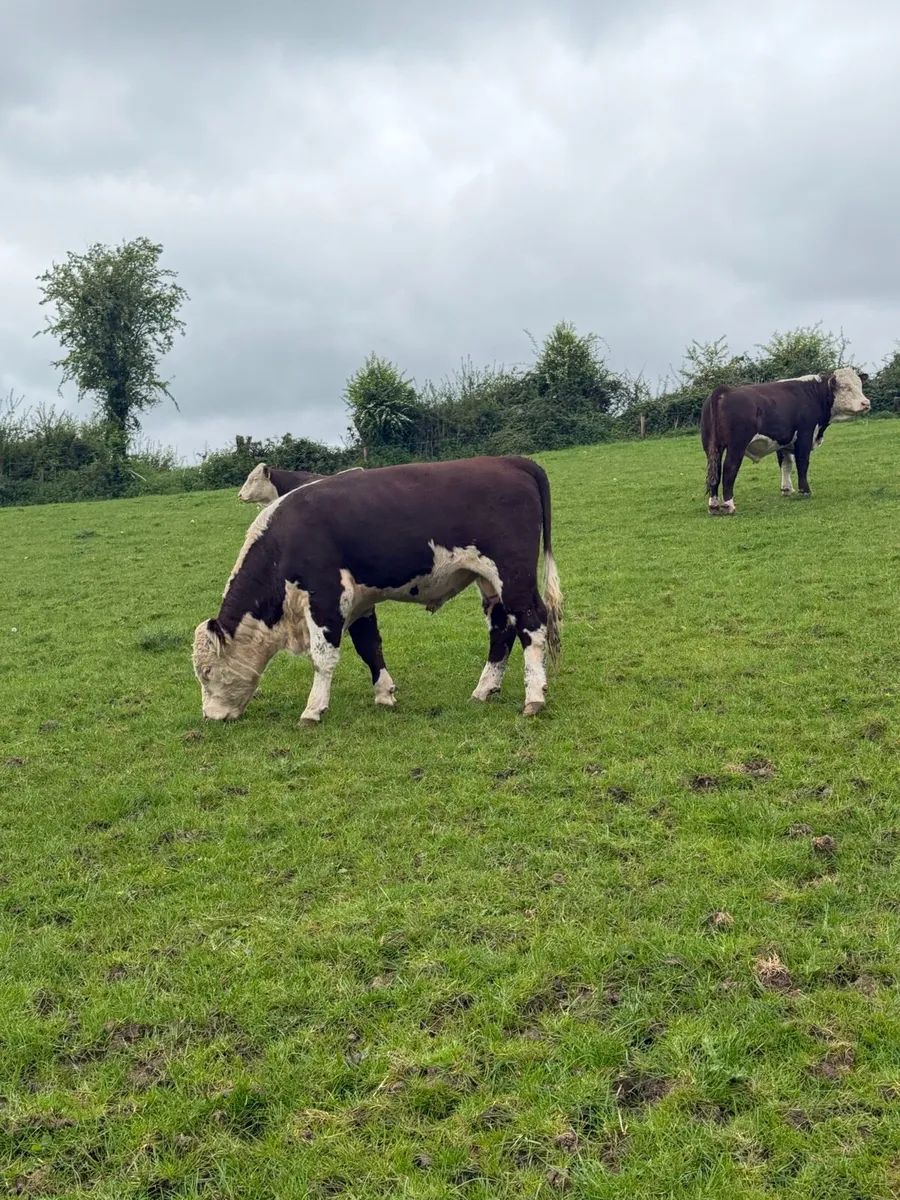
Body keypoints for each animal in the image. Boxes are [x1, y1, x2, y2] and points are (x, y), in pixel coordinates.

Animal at [194, 456, 563, 725]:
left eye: (207, 672)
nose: (209, 716)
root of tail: (511, 461)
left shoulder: (325, 598)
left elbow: (323, 658)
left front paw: (313, 710)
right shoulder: (359, 601)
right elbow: (369, 646)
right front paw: (384, 694)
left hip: (513, 577)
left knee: (532, 624)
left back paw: (534, 697)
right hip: (489, 583)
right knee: (502, 630)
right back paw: (484, 689)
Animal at [701, 367, 870, 515]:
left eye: (860, 385)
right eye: (845, 387)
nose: (866, 403)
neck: (813, 395)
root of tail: (725, 390)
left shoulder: (783, 442)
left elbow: (786, 464)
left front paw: (787, 489)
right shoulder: (804, 436)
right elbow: (802, 463)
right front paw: (805, 491)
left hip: (711, 447)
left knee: (715, 470)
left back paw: (713, 505)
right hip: (737, 445)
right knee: (729, 468)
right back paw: (728, 505)